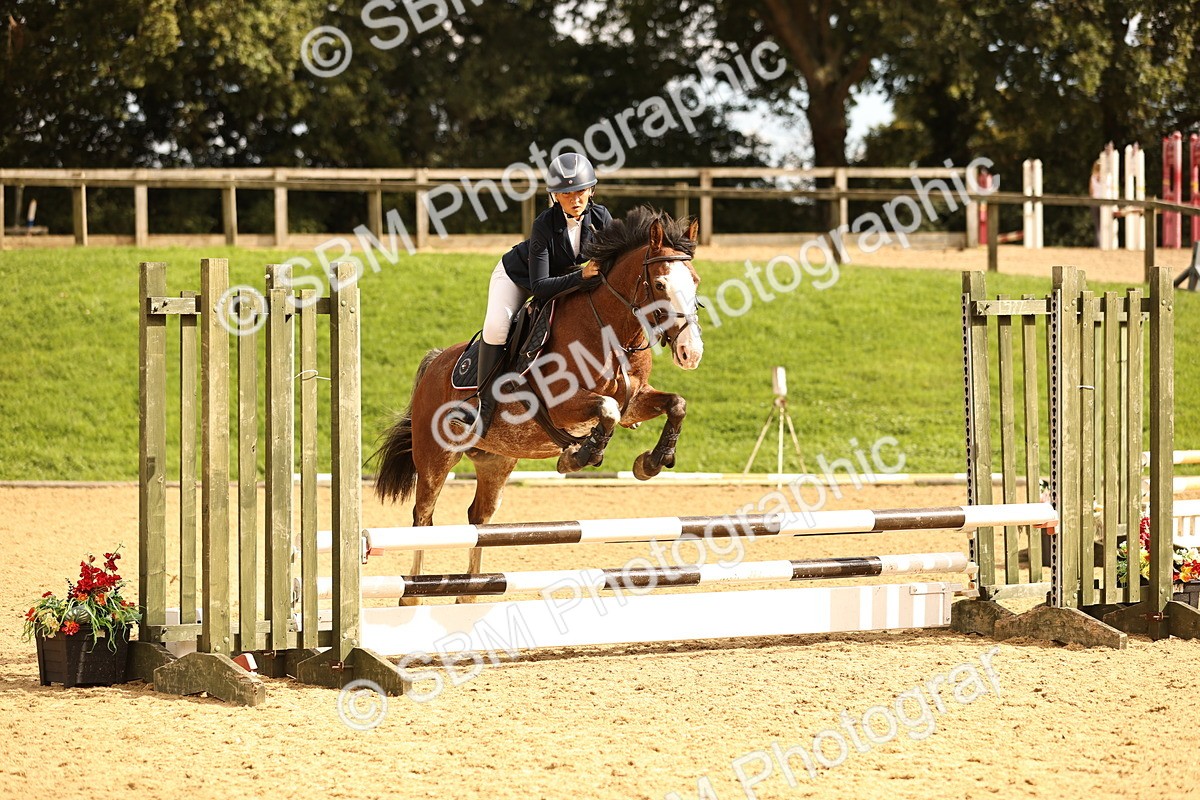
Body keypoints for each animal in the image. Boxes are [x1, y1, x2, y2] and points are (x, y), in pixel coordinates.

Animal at [371, 208, 705, 593]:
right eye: (661, 285)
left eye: (695, 281)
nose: (691, 352)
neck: (609, 331)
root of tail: (435, 363)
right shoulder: (561, 405)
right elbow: (604, 410)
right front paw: (577, 457)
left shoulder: (633, 401)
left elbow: (676, 404)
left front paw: (651, 462)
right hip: (435, 458)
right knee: (422, 518)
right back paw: (413, 592)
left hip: (496, 460)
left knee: (478, 519)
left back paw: (470, 593)